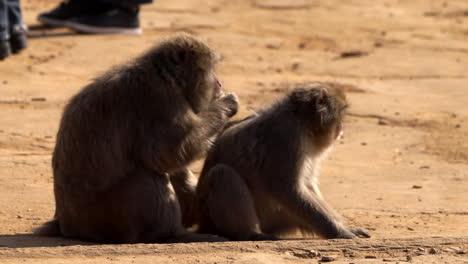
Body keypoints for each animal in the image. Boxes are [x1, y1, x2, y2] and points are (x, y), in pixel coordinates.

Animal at [33, 33, 238, 243]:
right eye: (210, 69)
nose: (219, 83)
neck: (167, 76)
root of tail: (66, 225)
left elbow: (174, 160)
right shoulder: (159, 99)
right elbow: (167, 153)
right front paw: (226, 104)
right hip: (106, 219)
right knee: (147, 173)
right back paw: (168, 234)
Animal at [196, 83, 372, 240]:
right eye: (341, 113)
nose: (341, 127)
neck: (301, 120)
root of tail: (202, 223)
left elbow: (307, 184)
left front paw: (343, 227)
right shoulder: (287, 135)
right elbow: (287, 189)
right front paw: (339, 232)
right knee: (222, 173)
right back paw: (250, 233)